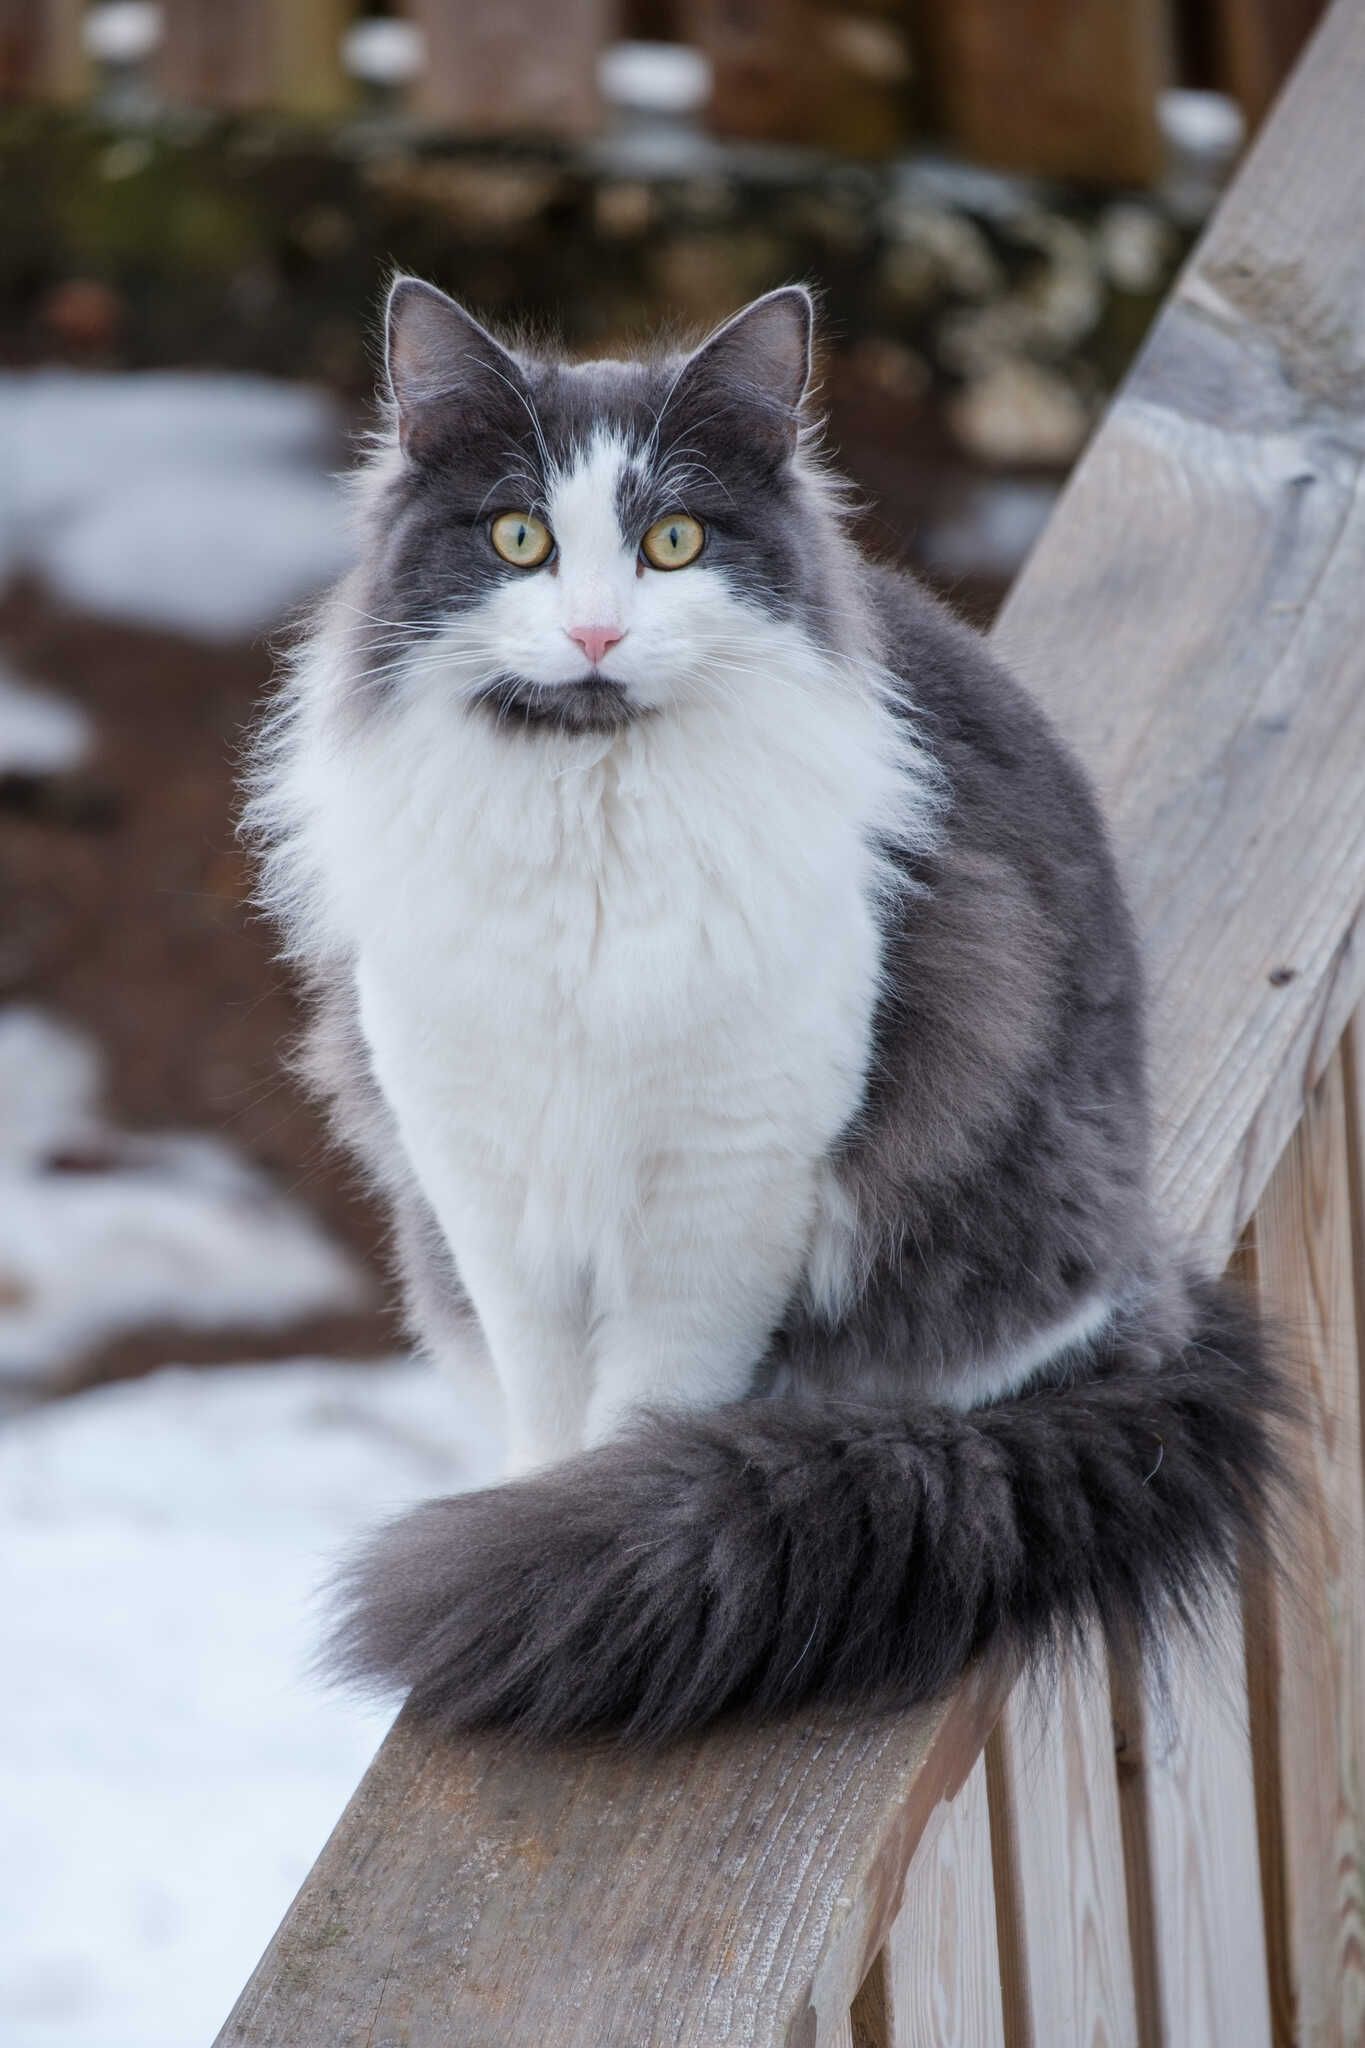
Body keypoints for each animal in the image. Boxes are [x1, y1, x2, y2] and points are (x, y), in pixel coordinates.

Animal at [248, 276, 1293, 1744]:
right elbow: (547, 1392)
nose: (595, 633)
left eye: (674, 541)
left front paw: (591, 1528)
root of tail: (1155, 1294)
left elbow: (649, 1400)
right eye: (517, 537)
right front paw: (543, 1500)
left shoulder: (728, 1176)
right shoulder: (481, 1172)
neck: (592, 825)